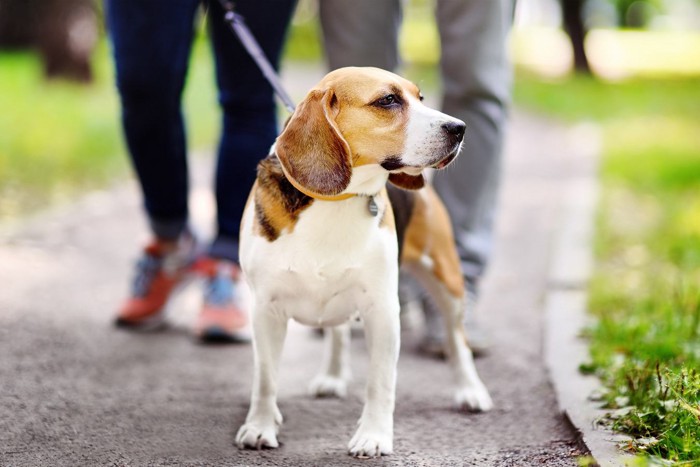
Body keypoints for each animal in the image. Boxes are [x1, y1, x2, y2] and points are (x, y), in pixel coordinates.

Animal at [235, 66, 492, 458]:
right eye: (387, 100)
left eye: (420, 98)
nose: (459, 128)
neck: (335, 200)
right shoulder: (265, 310)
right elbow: (265, 379)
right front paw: (259, 427)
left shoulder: (382, 311)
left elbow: (380, 382)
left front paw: (373, 436)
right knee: (338, 331)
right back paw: (332, 376)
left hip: (447, 282)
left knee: (457, 340)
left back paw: (470, 390)